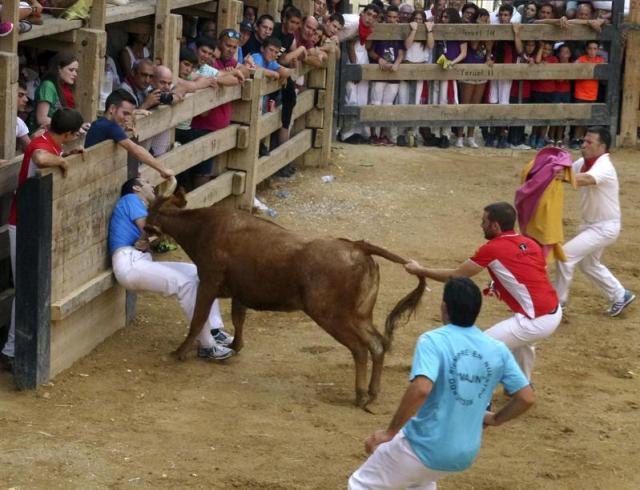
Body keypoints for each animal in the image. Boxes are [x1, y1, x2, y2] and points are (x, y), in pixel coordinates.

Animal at [145, 191, 424, 410]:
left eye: (149, 216)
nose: (142, 233)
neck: (200, 228)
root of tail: (358, 246)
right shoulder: (240, 292)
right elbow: (238, 318)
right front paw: (235, 346)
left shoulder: (209, 282)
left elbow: (198, 318)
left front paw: (179, 352)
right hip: (360, 314)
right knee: (377, 344)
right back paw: (372, 394)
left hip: (331, 314)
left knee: (359, 348)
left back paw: (360, 395)